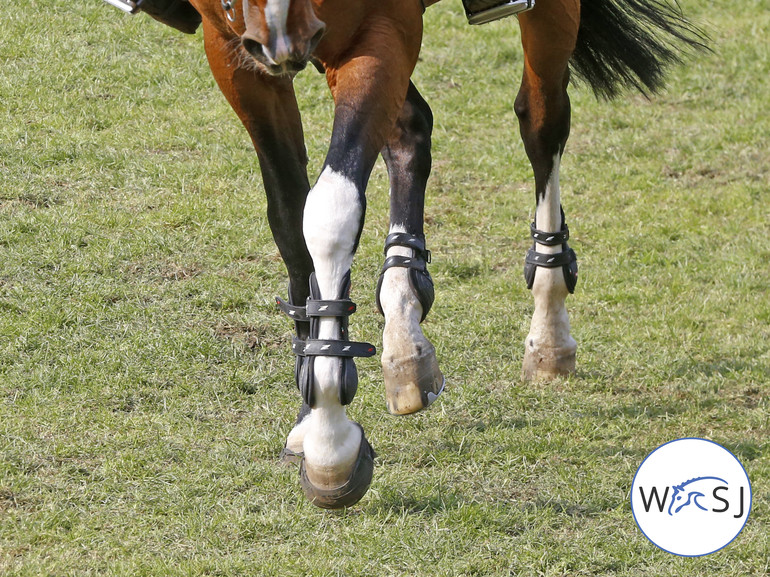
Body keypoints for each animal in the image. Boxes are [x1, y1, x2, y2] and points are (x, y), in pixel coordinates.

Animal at [105, 0, 704, 506]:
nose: (283, 36)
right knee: (410, 127)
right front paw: (311, 404)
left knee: (541, 119)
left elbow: (330, 210)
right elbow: (291, 213)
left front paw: (331, 439)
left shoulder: (380, 28)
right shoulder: (234, 48)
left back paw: (547, 330)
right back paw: (404, 325)